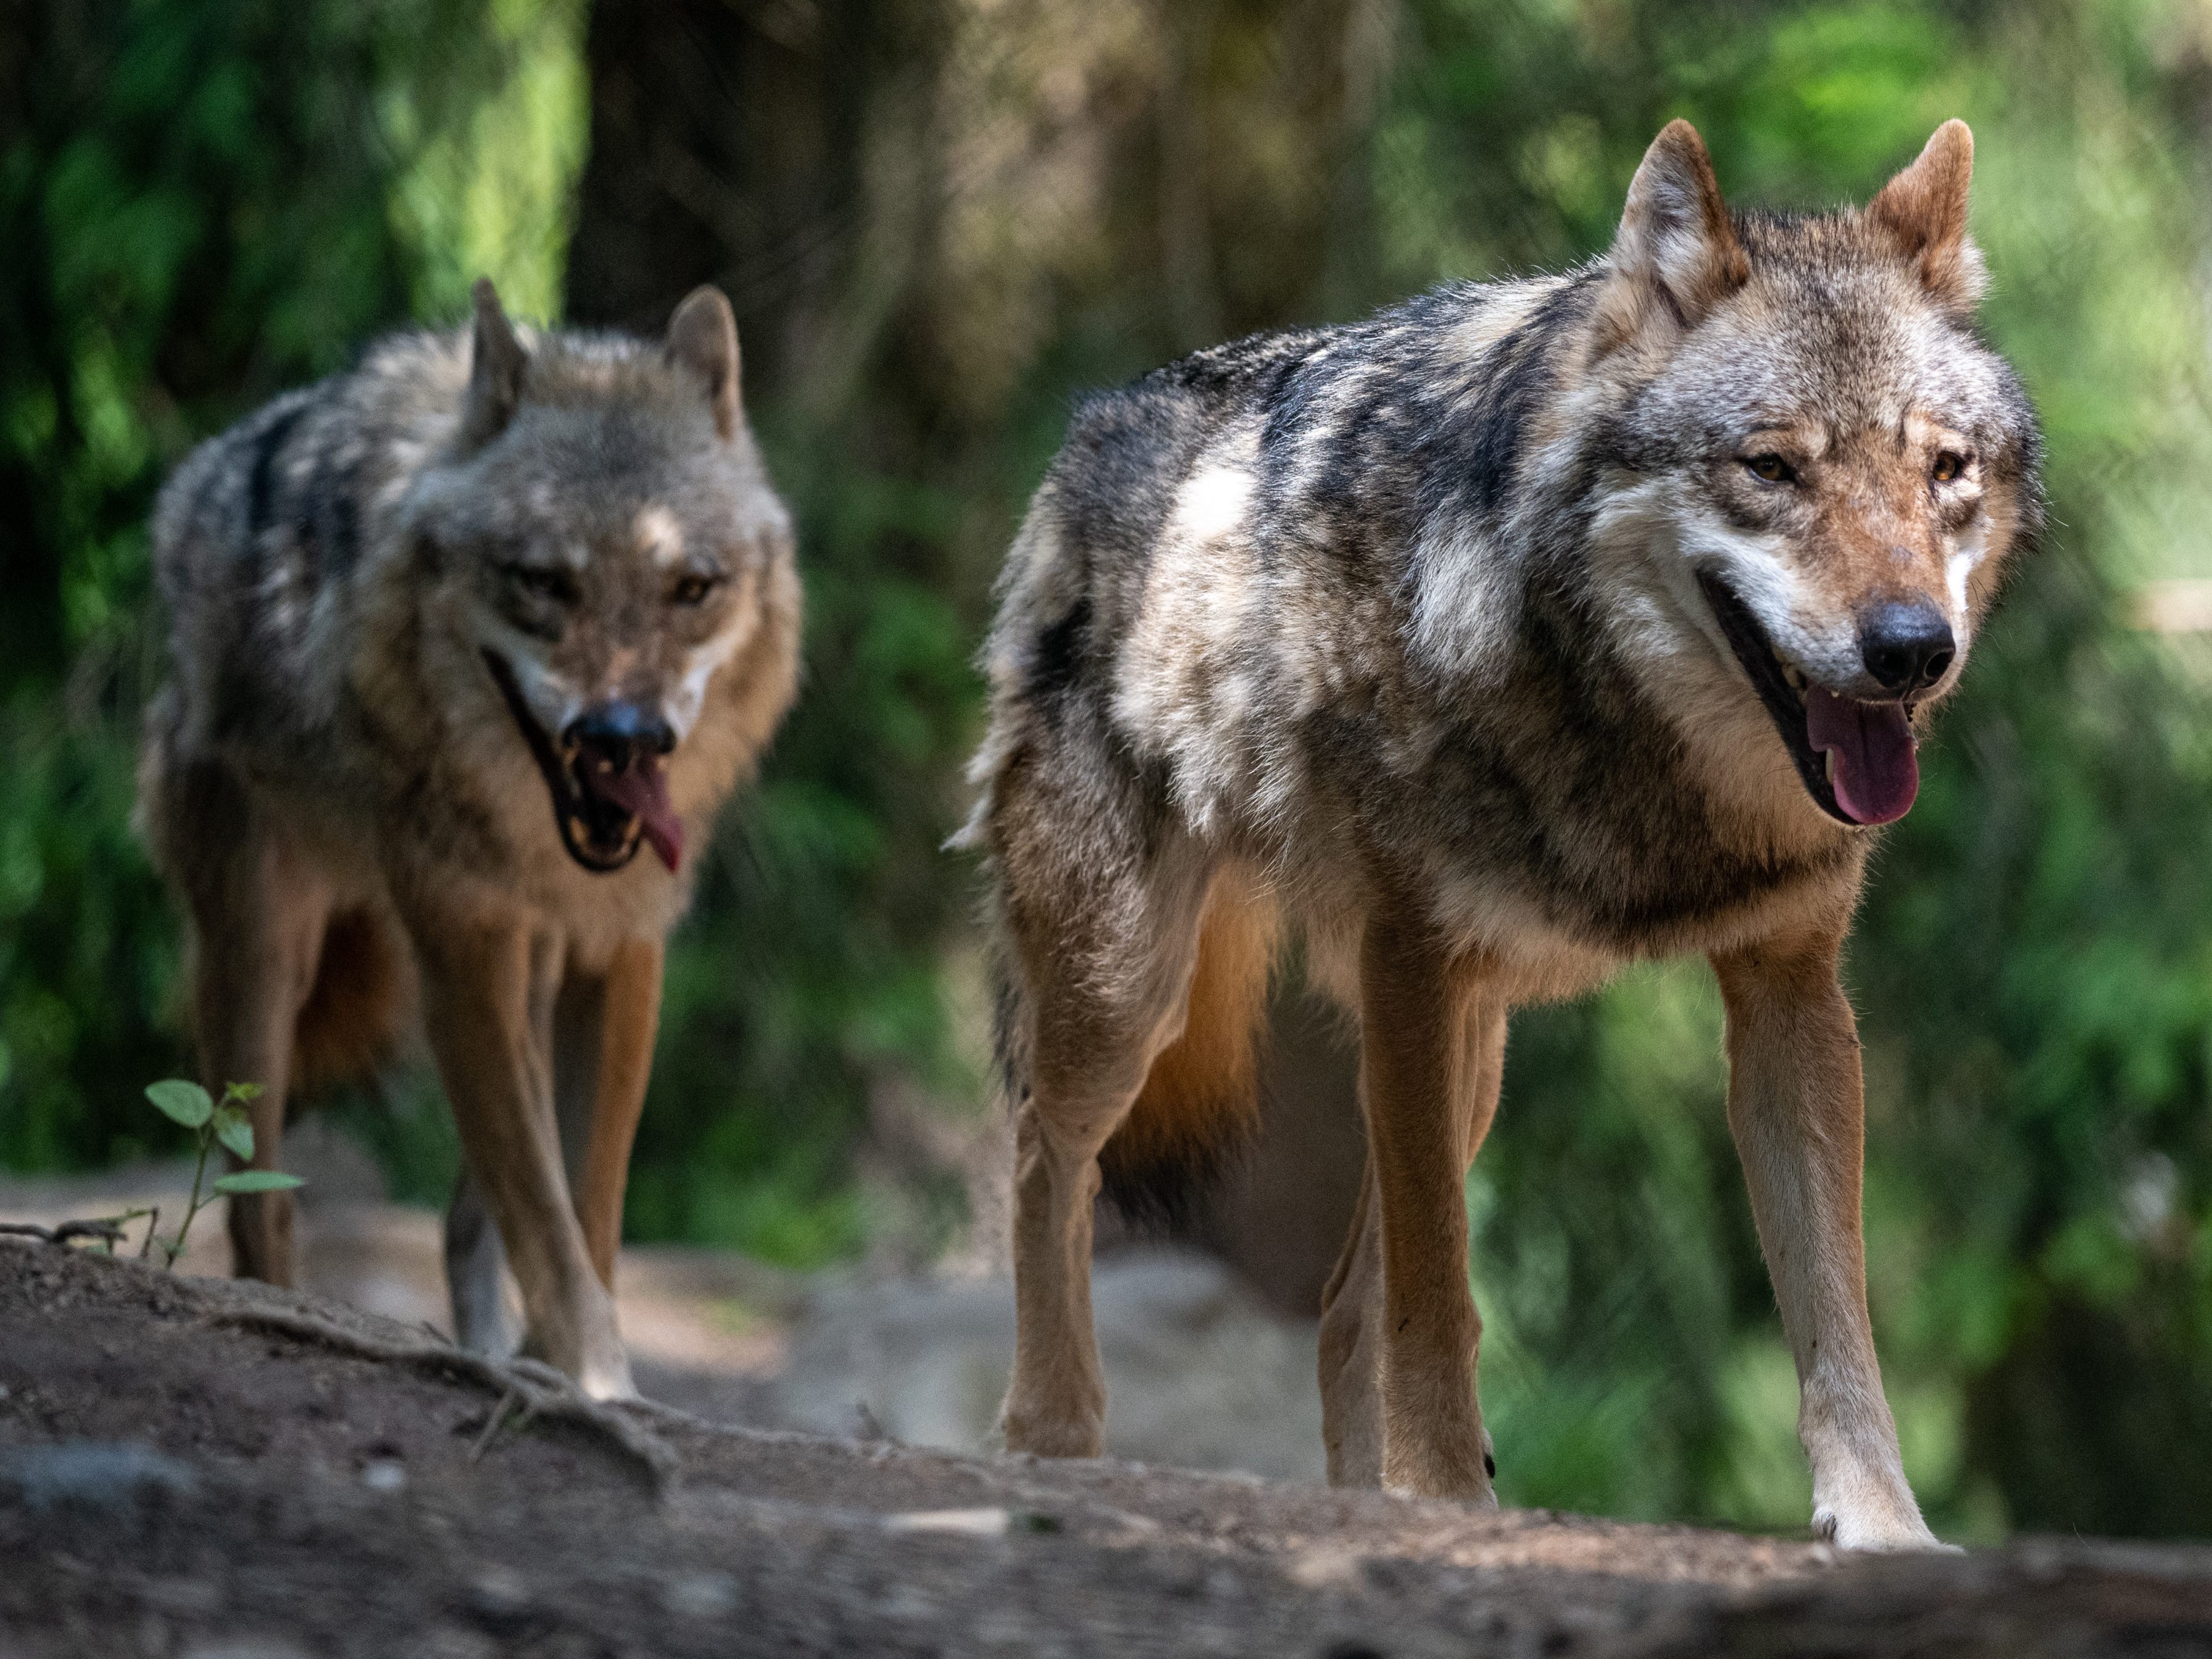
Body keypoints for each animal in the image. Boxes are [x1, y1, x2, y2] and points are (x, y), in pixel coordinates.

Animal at [138, 280, 800, 1398]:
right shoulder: (464, 947)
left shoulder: (619, 953)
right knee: (260, 1204)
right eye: (542, 582)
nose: (624, 738)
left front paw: (575, 1371)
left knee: (458, 1219)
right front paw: (594, 1378)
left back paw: (495, 1353)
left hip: (525, 974)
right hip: (262, 969)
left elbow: (588, 1209)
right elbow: (546, 1218)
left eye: (691, 589)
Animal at [964, 123, 2035, 1557]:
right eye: (1771, 468)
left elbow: (1833, 1315)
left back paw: (1350, 1505)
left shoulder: (1790, 992)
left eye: (1943, 472)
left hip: (1468, 1057)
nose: (1913, 650)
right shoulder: (1414, 966)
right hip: (1132, 995)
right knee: (1046, 1165)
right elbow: (1439, 1298)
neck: (1622, 731)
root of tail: (1097, 420)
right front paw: (1441, 1497)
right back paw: (1055, 1438)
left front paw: (1881, 1531)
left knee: (1336, 1308)